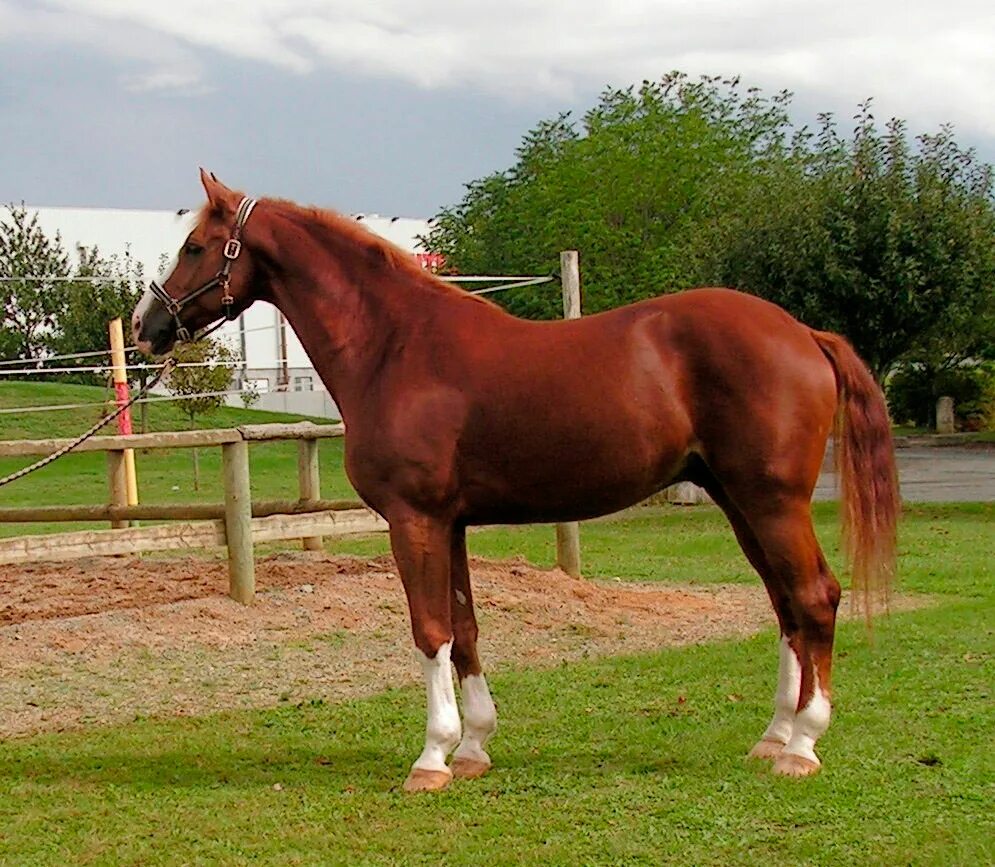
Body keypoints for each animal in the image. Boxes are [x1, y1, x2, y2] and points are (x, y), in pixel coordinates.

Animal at [134, 171, 904, 792]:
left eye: (196, 246)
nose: (147, 326)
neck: (395, 345)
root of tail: (803, 334)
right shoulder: (450, 523)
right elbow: (465, 628)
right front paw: (474, 746)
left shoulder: (414, 518)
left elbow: (429, 631)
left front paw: (431, 758)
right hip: (739, 501)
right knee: (784, 606)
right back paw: (773, 736)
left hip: (772, 501)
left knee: (814, 597)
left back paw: (803, 744)